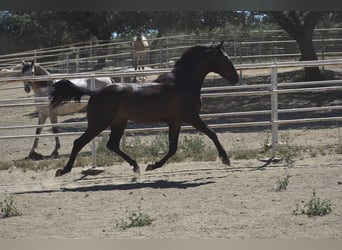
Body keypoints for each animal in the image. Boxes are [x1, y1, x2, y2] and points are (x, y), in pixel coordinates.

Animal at [50, 41, 239, 178]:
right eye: (225, 58)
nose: (236, 78)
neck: (182, 84)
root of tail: (94, 92)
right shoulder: (192, 117)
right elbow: (212, 133)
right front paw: (226, 159)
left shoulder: (176, 121)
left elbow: (173, 148)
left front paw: (152, 166)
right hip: (98, 123)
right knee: (79, 142)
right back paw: (62, 171)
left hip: (119, 122)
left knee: (112, 144)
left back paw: (136, 167)